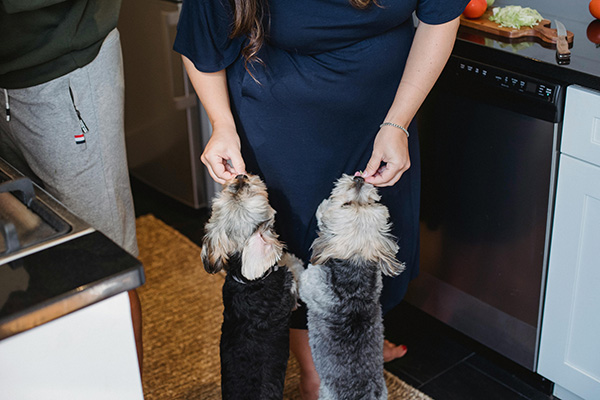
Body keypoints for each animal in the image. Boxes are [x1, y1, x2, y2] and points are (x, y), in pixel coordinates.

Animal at [202, 174, 302, 400]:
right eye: (249, 190)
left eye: (233, 190)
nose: (240, 176)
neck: (248, 282)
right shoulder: (287, 293)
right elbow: (290, 272)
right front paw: (291, 260)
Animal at [292, 174, 406, 400]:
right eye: (371, 202)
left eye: (346, 204)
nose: (359, 178)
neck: (356, 264)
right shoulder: (377, 282)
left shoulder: (310, 284)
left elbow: (297, 269)